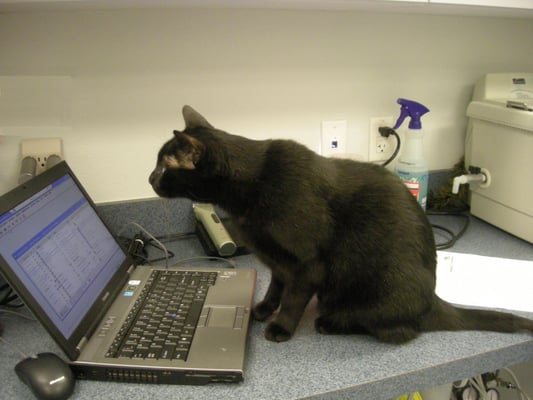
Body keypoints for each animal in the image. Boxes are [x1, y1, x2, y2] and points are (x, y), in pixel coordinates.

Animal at [149, 105, 532, 344]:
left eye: (164, 167)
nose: (150, 177)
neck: (250, 191)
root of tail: (433, 301)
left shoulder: (308, 264)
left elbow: (293, 299)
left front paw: (281, 327)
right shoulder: (279, 262)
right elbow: (275, 288)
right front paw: (264, 310)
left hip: (371, 292)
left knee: (398, 330)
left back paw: (330, 323)